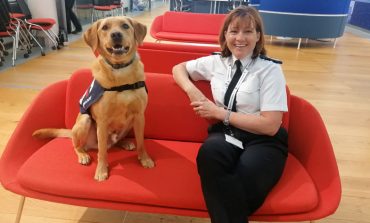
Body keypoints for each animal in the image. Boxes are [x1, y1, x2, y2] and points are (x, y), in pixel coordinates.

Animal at [33, 17, 155, 181]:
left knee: (113, 142)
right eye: (105, 27)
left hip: (128, 124)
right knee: (79, 146)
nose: (116, 34)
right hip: (85, 121)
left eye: (125, 26)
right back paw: (83, 155)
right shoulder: (102, 122)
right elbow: (102, 152)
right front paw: (101, 170)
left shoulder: (139, 116)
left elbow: (141, 142)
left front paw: (145, 159)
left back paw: (124, 143)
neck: (121, 73)